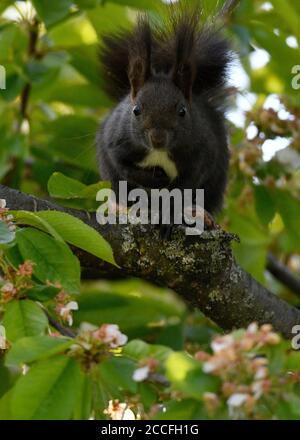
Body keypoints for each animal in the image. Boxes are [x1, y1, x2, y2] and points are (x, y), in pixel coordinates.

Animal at [97, 6, 233, 237]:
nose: (157, 138)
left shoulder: (200, 154)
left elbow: (183, 187)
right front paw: (155, 178)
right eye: (136, 110)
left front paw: (169, 216)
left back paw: (199, 213)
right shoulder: (116, 142)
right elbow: (123, 166)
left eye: (182, 111)